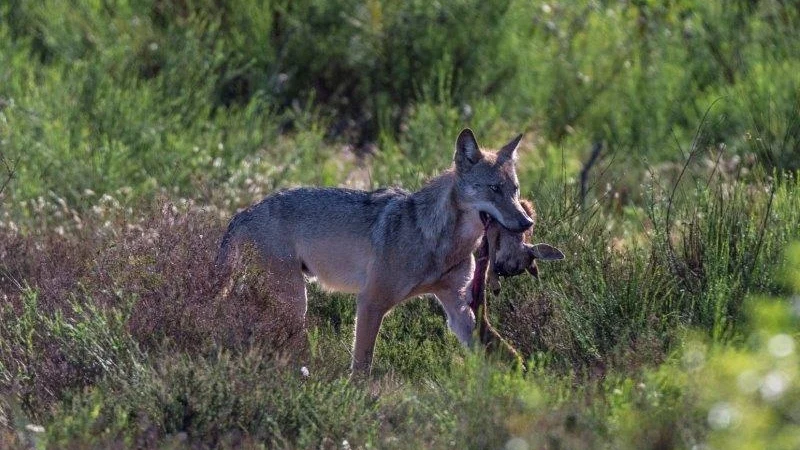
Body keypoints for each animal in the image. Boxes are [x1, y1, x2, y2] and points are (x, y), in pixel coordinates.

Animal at [216, 129, 534, 375]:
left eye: (515, 190)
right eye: (494, 189)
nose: (526, 222)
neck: (438, 240)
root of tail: (243, 213)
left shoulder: (457, 305)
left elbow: (494, 347)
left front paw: (517, 377)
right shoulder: (371, 301)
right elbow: (362, 365)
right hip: (295, 303)